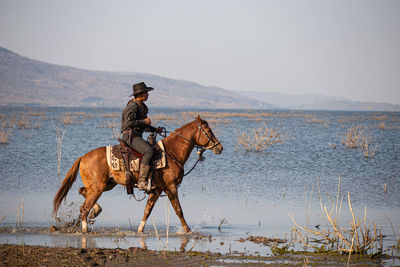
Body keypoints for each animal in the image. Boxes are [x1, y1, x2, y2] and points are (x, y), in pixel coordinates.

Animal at [52, 116, 223, 233]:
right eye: (208, 131)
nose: (219, 147)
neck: (171, 153)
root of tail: (83, 157)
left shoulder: (157, 189)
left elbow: (147, 210)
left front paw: (140, 230)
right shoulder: (171, 187)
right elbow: (178, 210)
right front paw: (188, 231)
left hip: (106, 185)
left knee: (82, 191)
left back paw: (96, 211)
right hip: (98, 187)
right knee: (84, 208)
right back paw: (85, 229)